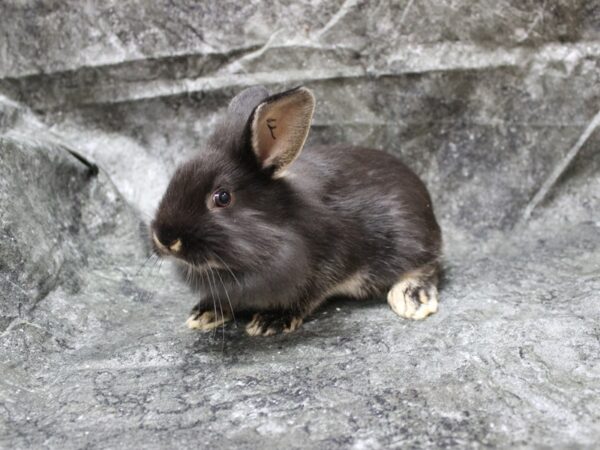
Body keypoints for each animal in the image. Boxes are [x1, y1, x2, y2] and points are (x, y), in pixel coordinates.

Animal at [150, 86, 440, 336]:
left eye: (222, 197)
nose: (165, 239)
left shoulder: (324, 265)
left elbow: (306, 296)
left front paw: (270, 321)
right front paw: (204, 313)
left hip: (410, 240)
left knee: (427, 266)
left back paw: (411, 298)